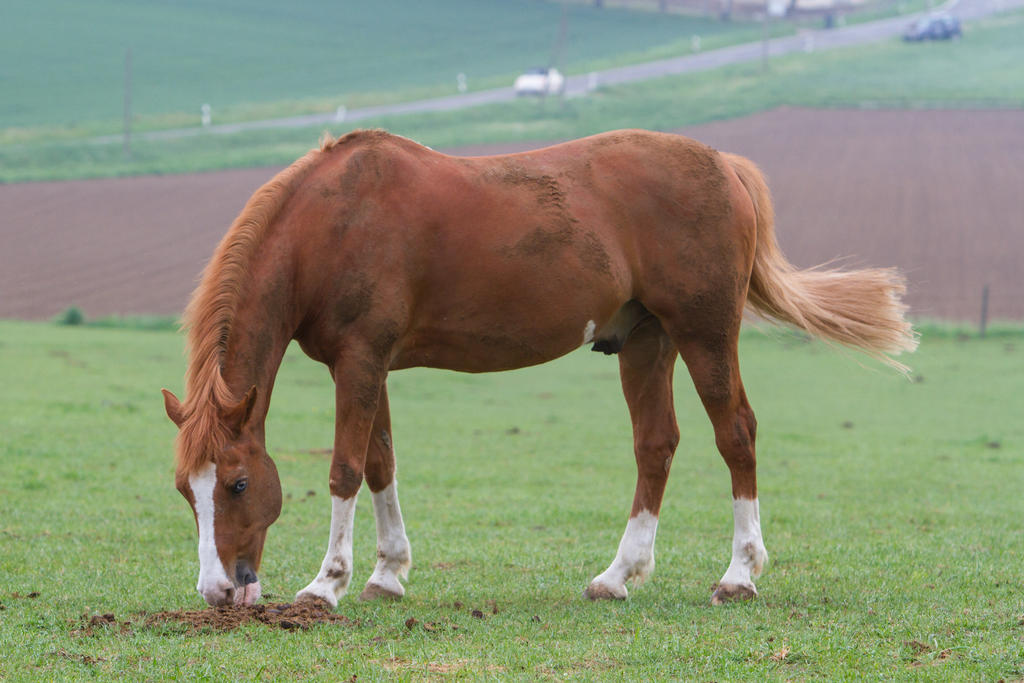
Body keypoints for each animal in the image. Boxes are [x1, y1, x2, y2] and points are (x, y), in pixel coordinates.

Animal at [163, 129, 917, 610]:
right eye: (185, 492)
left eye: (236, 484)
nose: (219, 591)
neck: (331, 223)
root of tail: (725, 165)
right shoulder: (371, 366)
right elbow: (380, 463)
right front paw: (389, 573)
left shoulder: (359, 361)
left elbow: (345, 469)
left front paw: (327, 584)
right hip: (647, 340)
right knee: (656, 445)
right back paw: (617, 575)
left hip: (705, 333)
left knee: (737, 434)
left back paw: (739, 574)